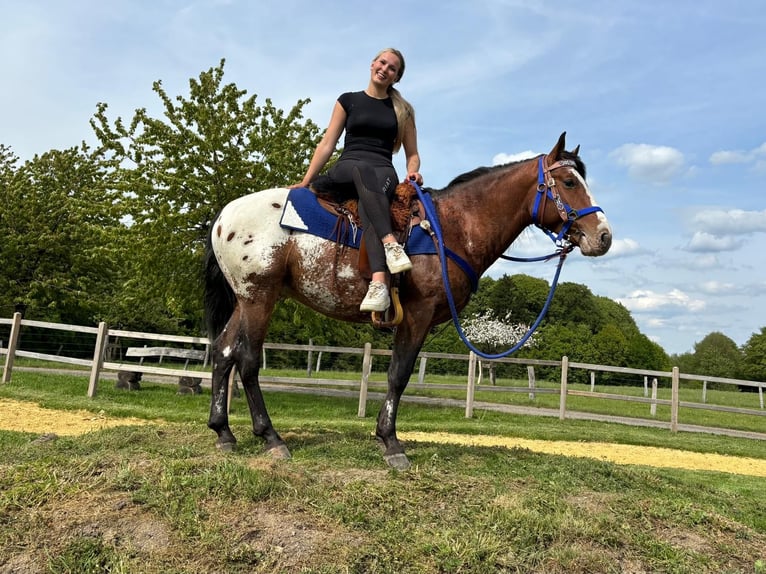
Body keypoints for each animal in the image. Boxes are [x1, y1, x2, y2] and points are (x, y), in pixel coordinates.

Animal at [204, 132, 612, 470]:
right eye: (570, 182)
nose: (604, 236)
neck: (451, 228)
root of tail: (224, 216)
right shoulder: (417, 314)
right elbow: (398, 374)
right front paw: (391, 443)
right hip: (259, 297)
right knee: (247, 359)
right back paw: (271, 438)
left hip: (245, 300)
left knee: (223, 352)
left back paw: (224, 432)